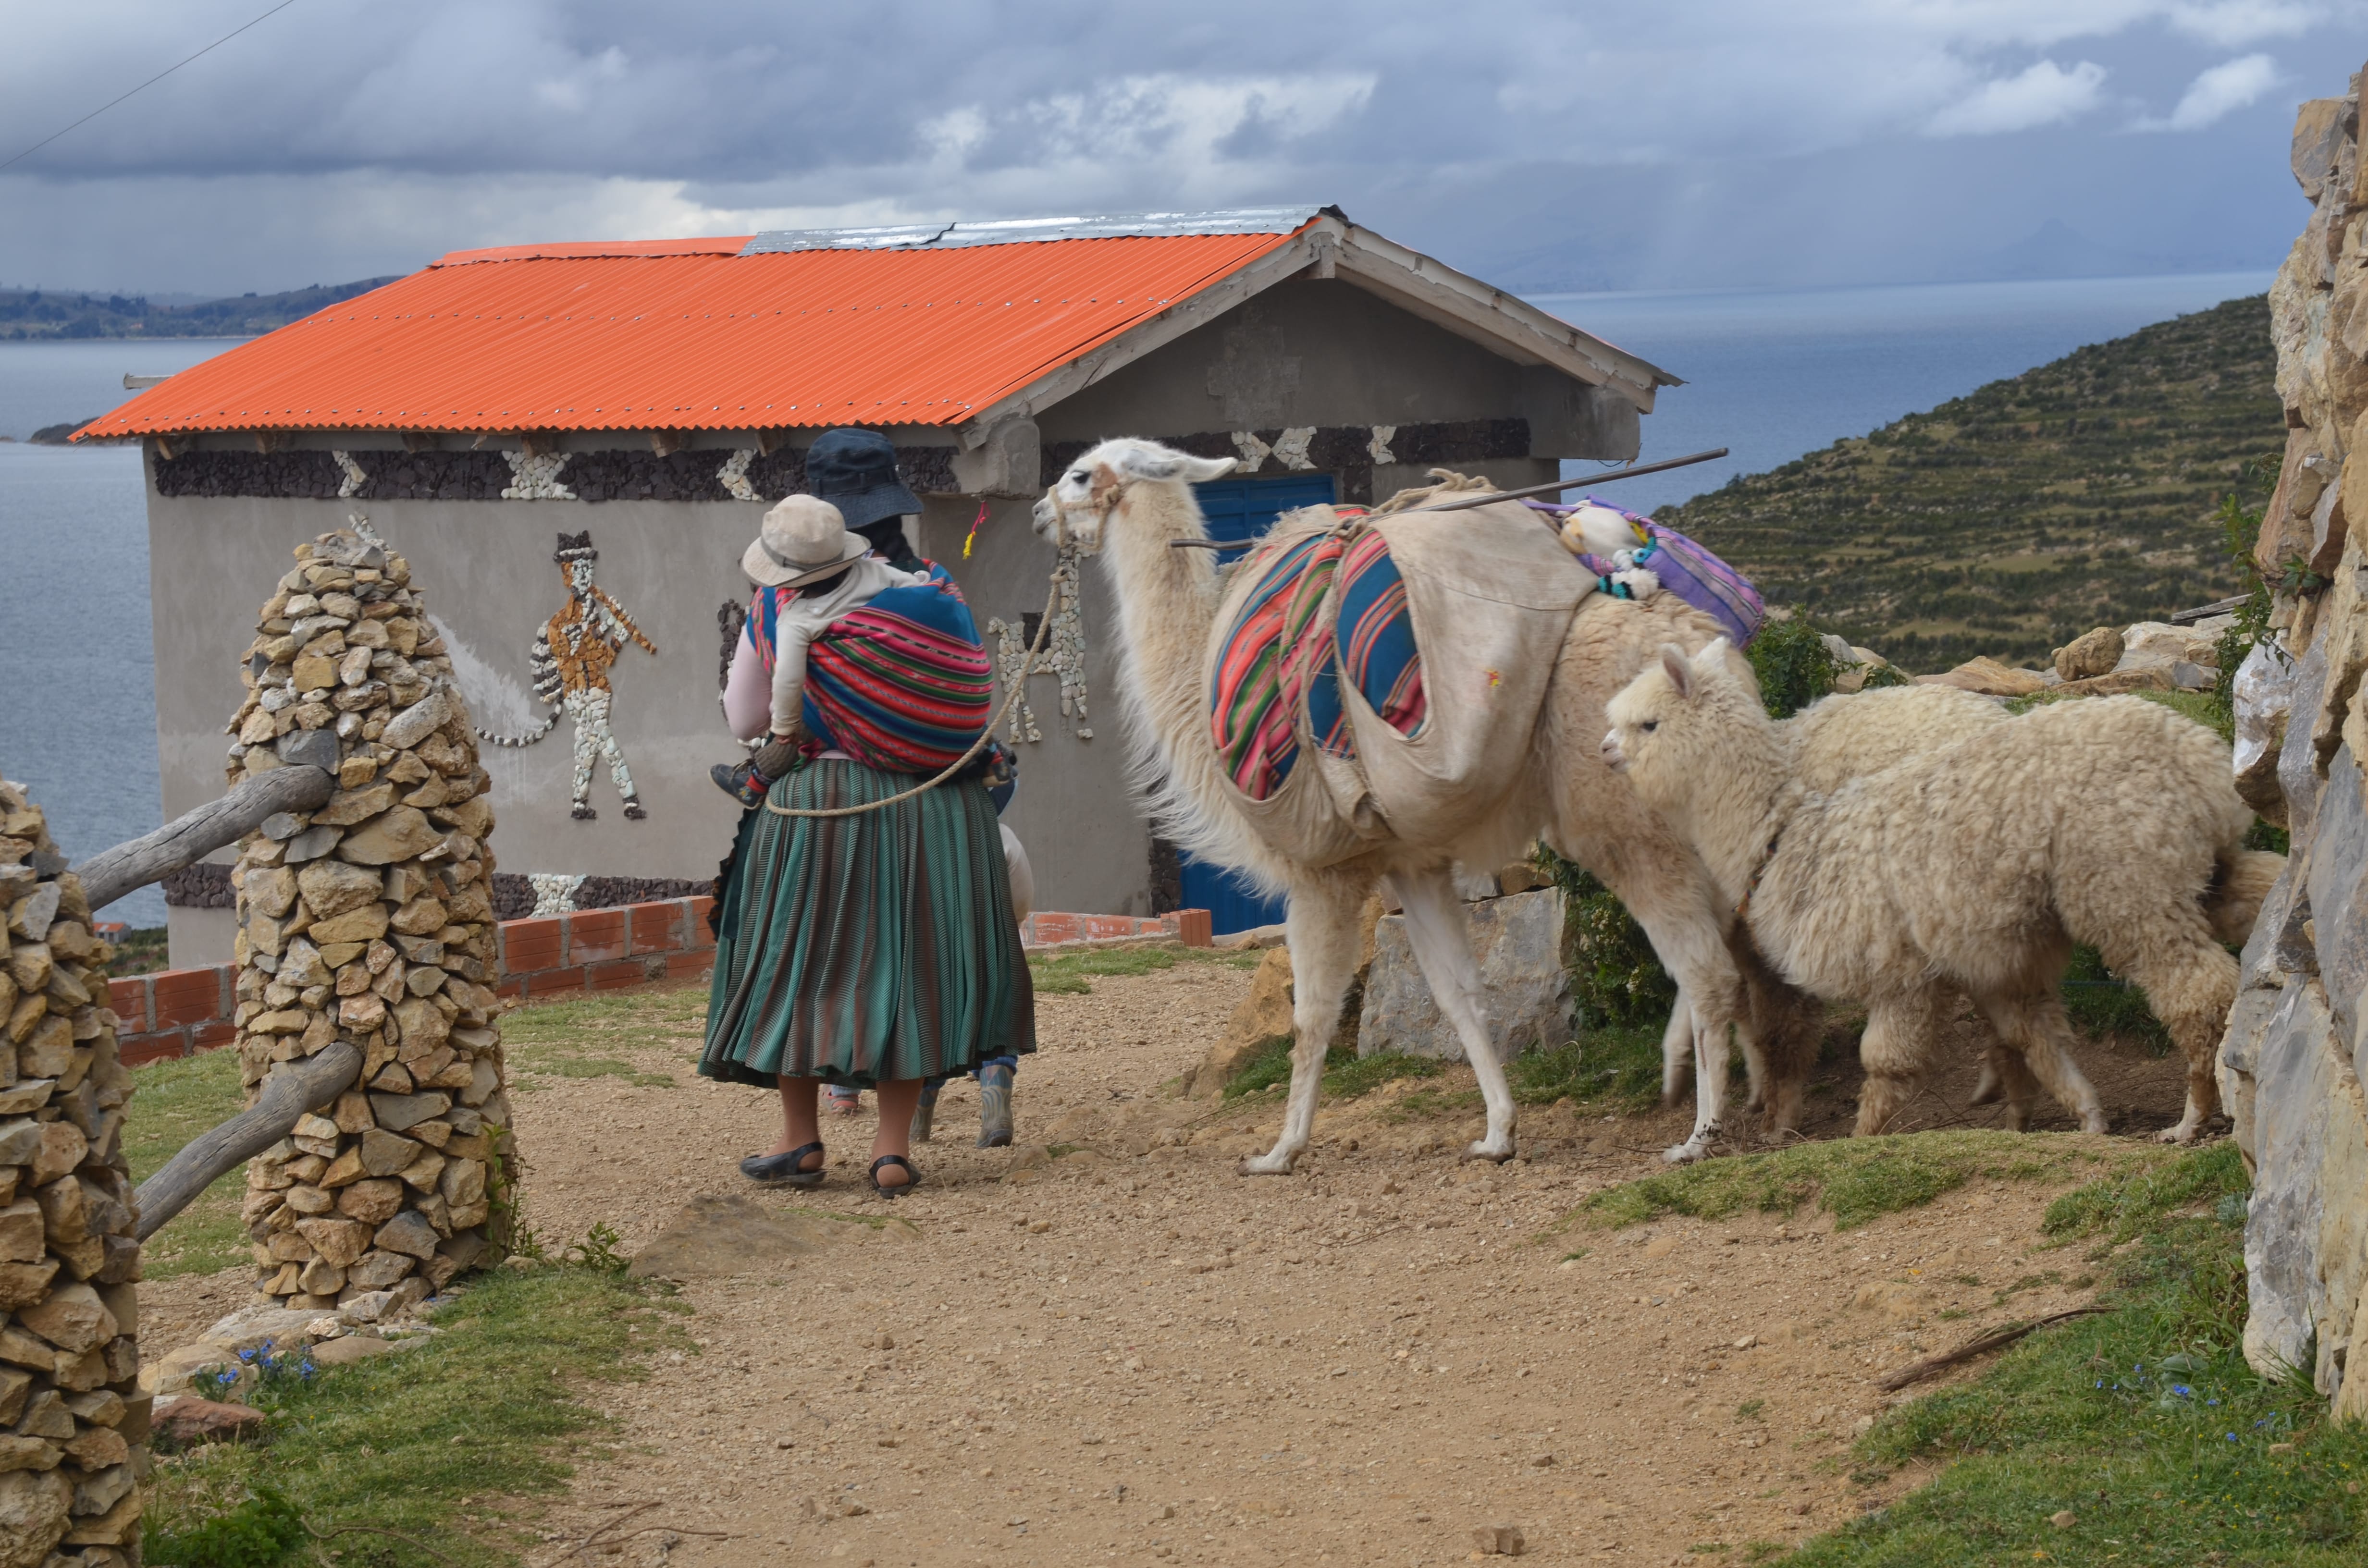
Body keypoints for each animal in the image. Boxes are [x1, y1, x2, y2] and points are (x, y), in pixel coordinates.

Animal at [1033, 439, 1786, 1171]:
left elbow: (1312, 1015)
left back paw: (1701, 1135)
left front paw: (1279, 1152)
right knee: (1742, 945)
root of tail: (1700, 656)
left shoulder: (1325, 871)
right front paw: (1498, 1134)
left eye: (1079, 474)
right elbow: (1458, 993)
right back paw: (1748, 1093)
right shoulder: (1410, 860)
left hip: (1623, 819)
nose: (1040, 515)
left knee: (1708, 970)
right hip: (1700, 820)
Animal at [1603, 641, 2282, 1144]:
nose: (1605, 749)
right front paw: (2082, 1117)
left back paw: (2192, 1118)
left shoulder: (1899, 969)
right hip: (2199, 866)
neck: (1789, 837)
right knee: (2259, 896)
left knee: (2194, 990)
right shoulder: (1990, 958)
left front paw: (1855, 1139)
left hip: (2126, 880)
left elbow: (1882, 1063)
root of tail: (2193, 754)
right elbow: (2033, 1035)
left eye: (1646, 723)